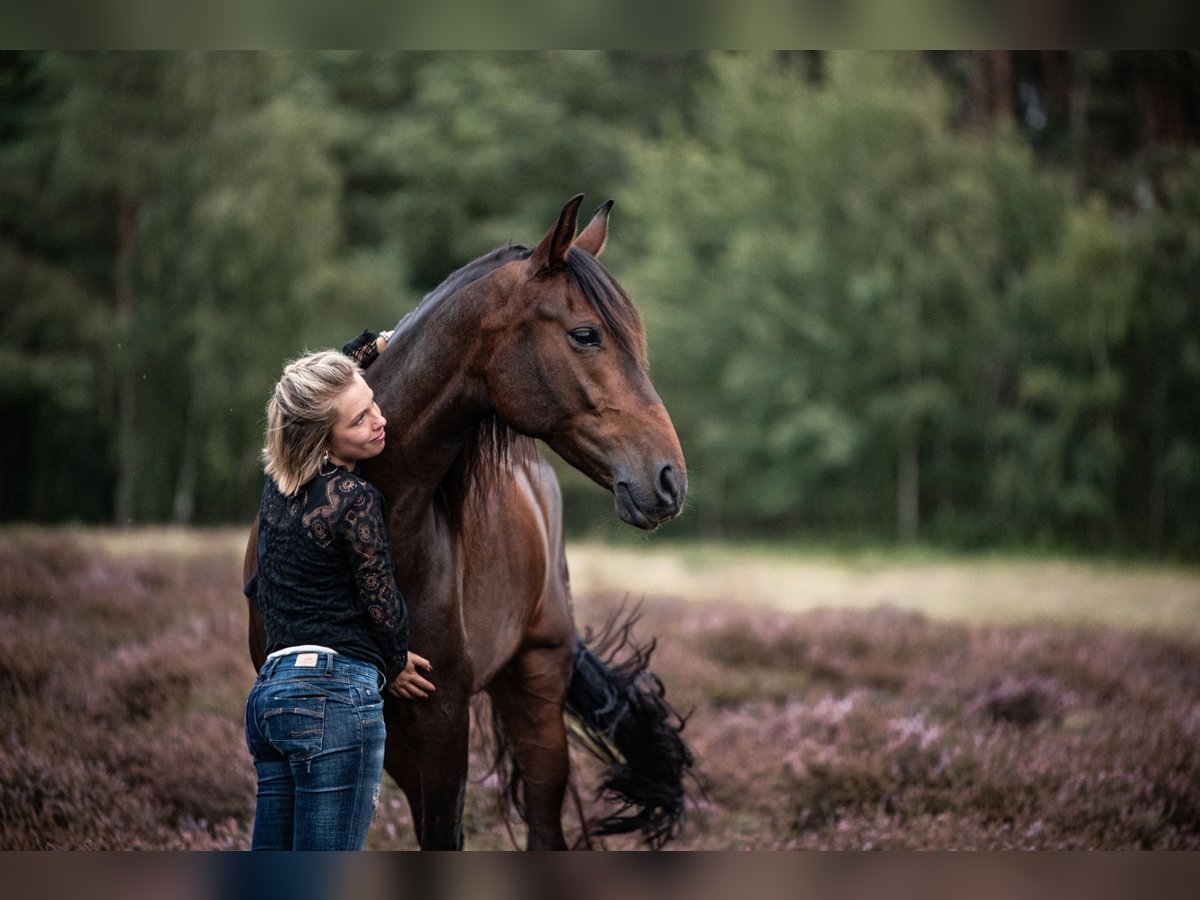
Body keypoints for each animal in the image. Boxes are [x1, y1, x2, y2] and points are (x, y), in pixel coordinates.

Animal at [241, 194, 696, 849]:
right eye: (586, 334)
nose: (668, 480)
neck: (396, 521)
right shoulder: (397, 737)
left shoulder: (443, 719)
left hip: (536, 692)